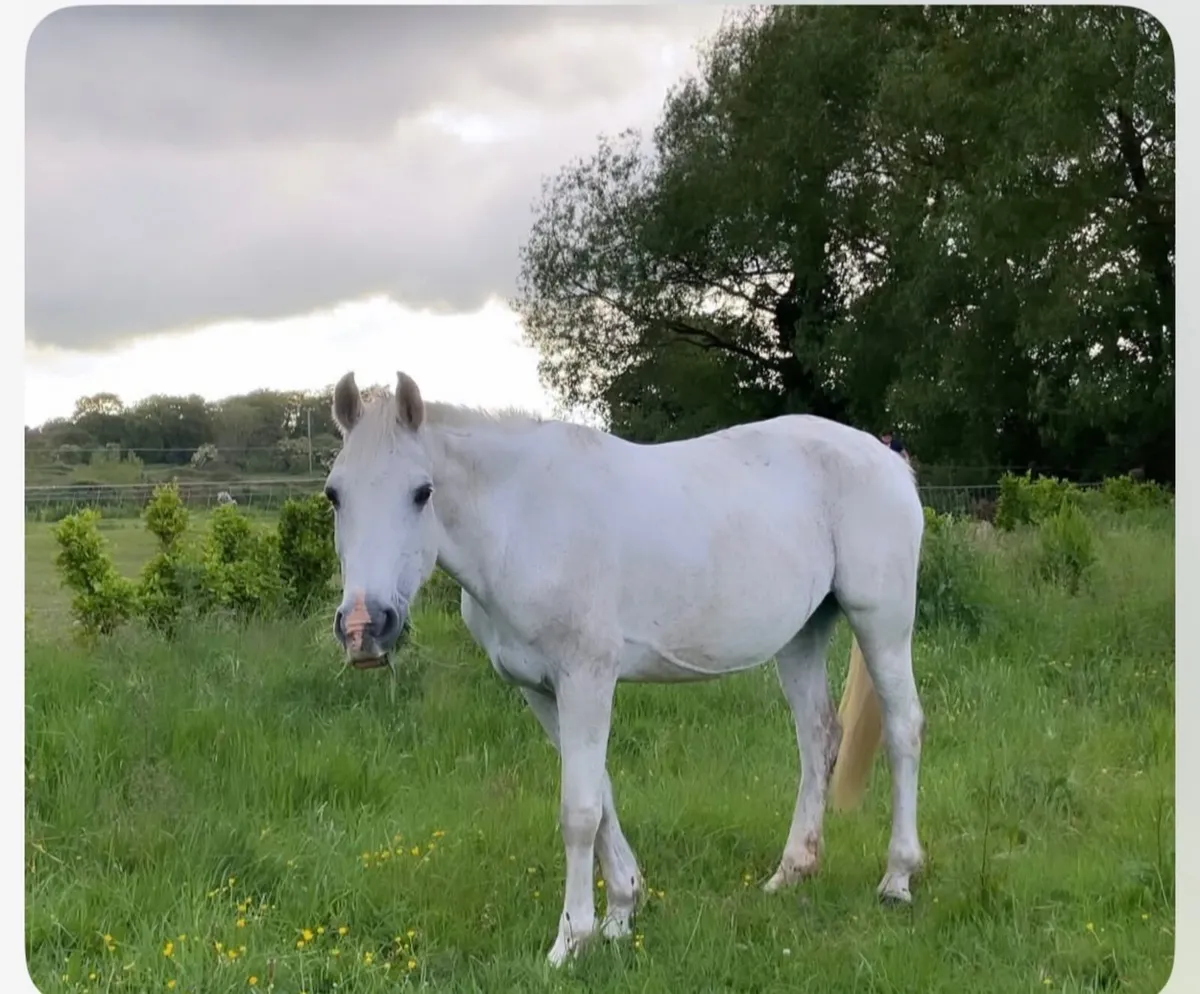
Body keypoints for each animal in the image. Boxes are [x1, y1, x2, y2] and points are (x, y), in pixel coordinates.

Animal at [323, 370, 926, 967]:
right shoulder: (541, 690)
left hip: (882, 621)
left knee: (903, 730)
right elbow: (603, 795)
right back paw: (792, 872)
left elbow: (579, 811)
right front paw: (619, 912)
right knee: (818, 738)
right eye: (333, 495)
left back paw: (897, 879)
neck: (523, 520)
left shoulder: (586, 679)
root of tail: (888, 459)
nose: (363, 627)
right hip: (802, 636)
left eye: (421, 493)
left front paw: (571, 940)